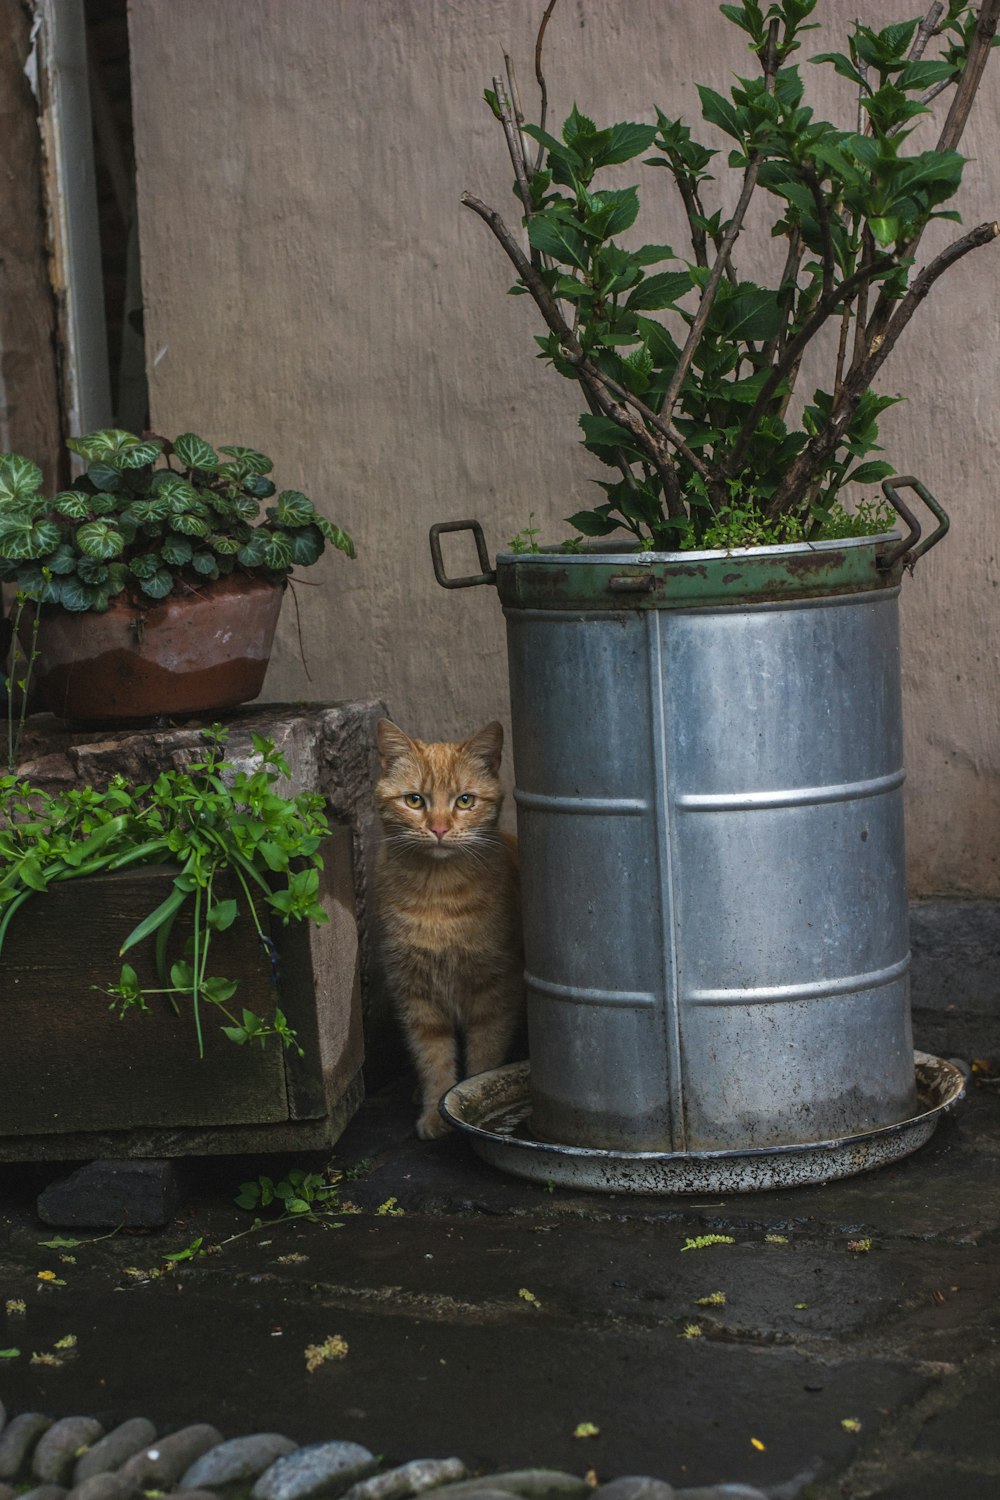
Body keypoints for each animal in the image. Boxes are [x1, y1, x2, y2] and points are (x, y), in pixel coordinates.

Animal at [374, 723, 524, 1134]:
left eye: (465, 801)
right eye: (414, 801)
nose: (439, 827)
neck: (438, 894)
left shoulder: (495, 992)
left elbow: (483, 1063)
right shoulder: (416, 997)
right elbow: (433, 1059)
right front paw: (433, 1111)